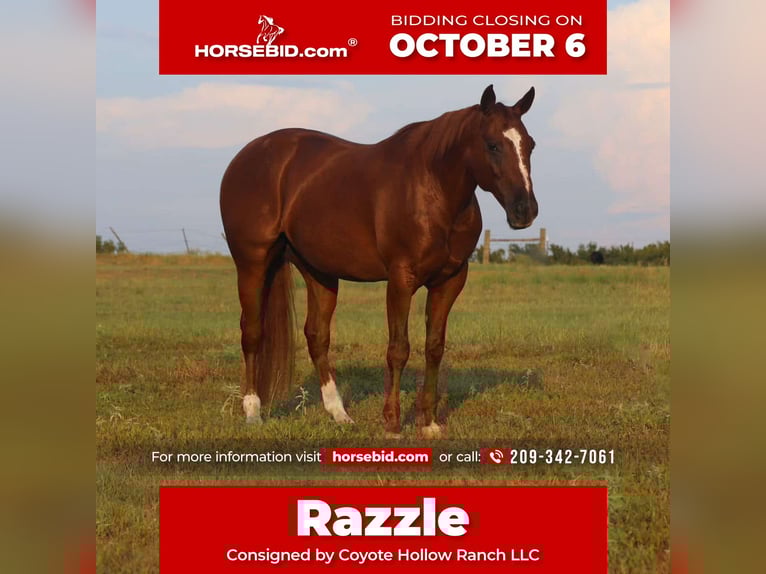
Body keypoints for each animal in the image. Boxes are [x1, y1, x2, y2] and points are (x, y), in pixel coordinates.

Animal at [220, 84, 538, 437]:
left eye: (530, 145)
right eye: (493, 144)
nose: (525, 211)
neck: (432, 188)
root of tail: (247, 155)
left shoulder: (450, 280)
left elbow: (434, 347)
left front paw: (429, 423)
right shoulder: (401, 279)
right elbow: (398, 349)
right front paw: (392, 423)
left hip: (319, 271)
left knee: (317, 336)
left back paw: (339, 413)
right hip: (252, 263)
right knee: (252, 332)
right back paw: (253, 412)